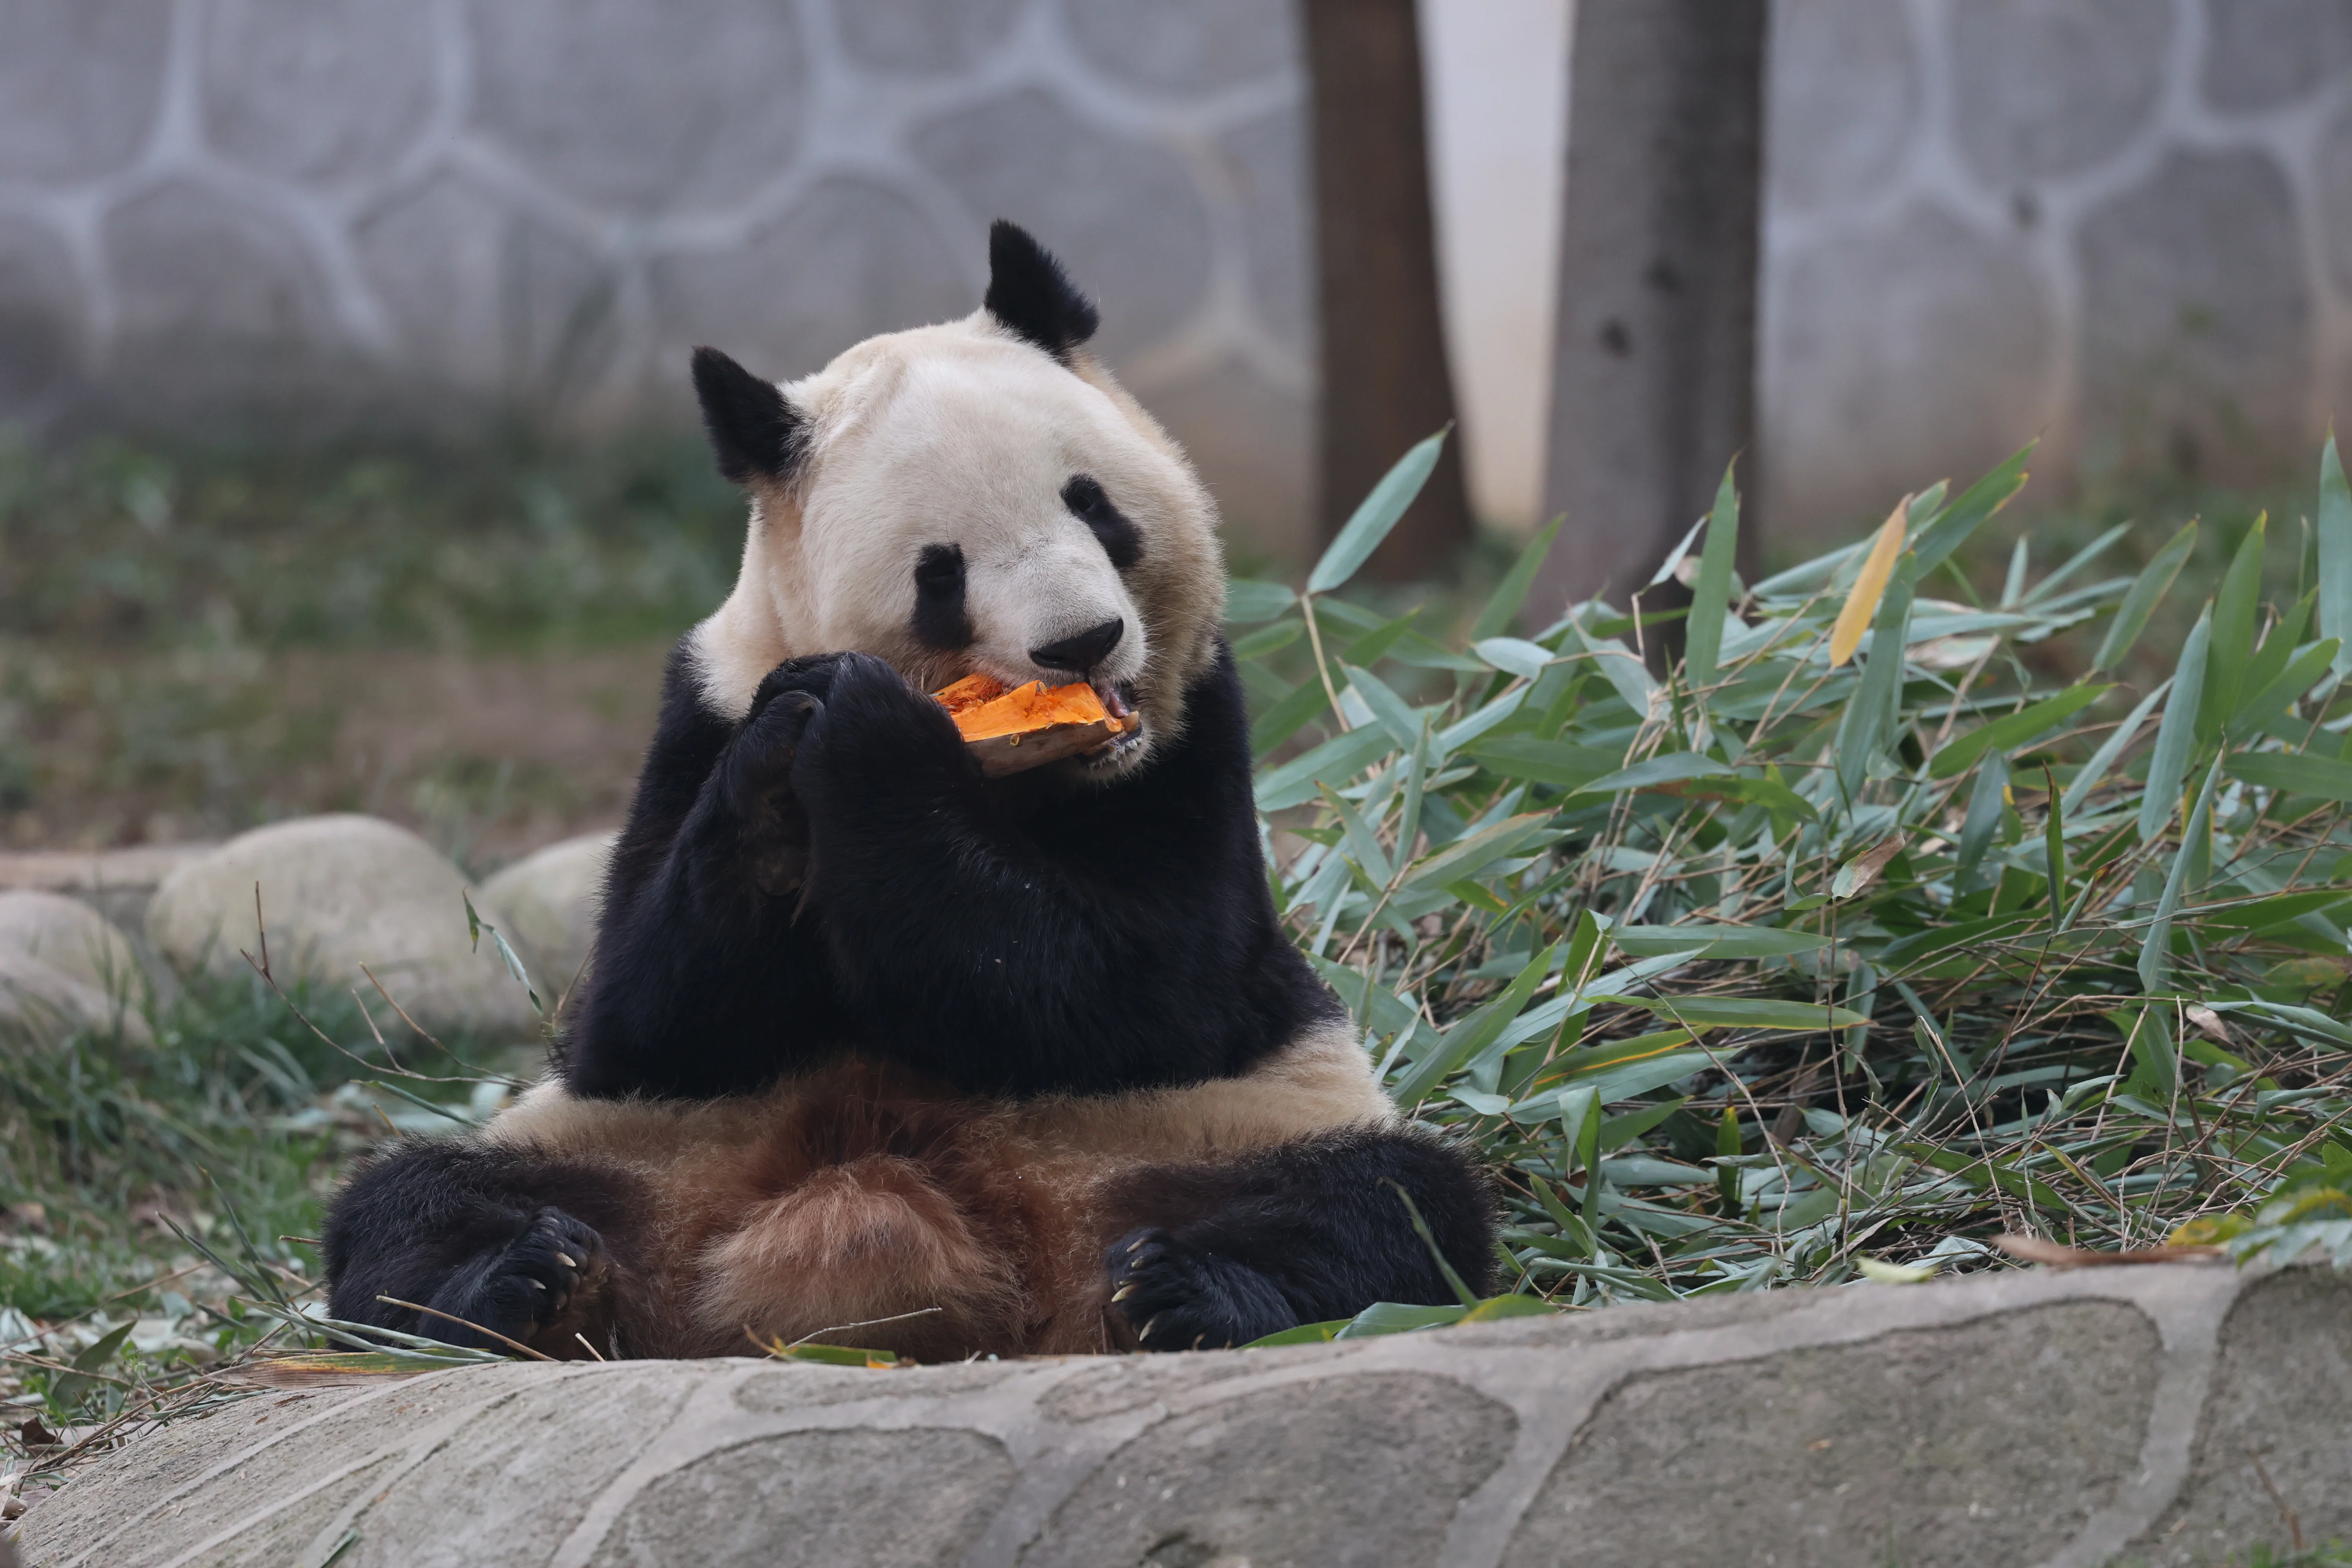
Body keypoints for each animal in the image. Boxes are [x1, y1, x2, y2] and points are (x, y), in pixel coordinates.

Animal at [321, 222, 1496, 1362]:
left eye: (1093, 505)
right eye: (943, 572)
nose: (1084, 642)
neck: (1040, 772)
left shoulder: (1195, 735)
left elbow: (1149, 986)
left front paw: (869, 736)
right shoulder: (698, 712)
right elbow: (646, 1019)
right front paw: (792, 751)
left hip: (1228, 1125)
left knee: (1389, 1207)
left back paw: (1186, 1290)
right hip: (620, 1148)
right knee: (405, 1206)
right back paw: (524, 1286)